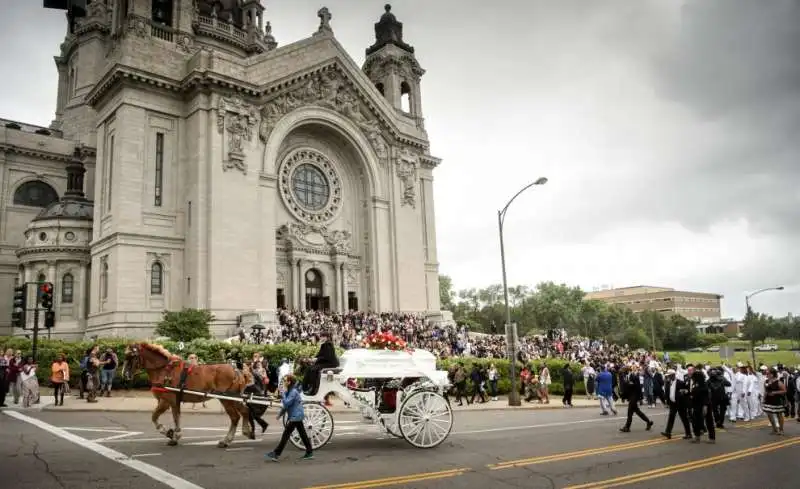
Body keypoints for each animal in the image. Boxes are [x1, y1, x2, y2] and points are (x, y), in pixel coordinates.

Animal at [125, 344, 253, 446]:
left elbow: (156, 417)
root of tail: (236, 370)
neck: (164, 370)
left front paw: (171, 434)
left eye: (132, 356)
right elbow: (174, 417)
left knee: (235, 417)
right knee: (245, 411)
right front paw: (174, 434)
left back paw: (227, 440)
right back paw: (247, 432)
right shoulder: (174, 401)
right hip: (234, 398)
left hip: (226, 399)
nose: (125, 374)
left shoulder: (166, 401)